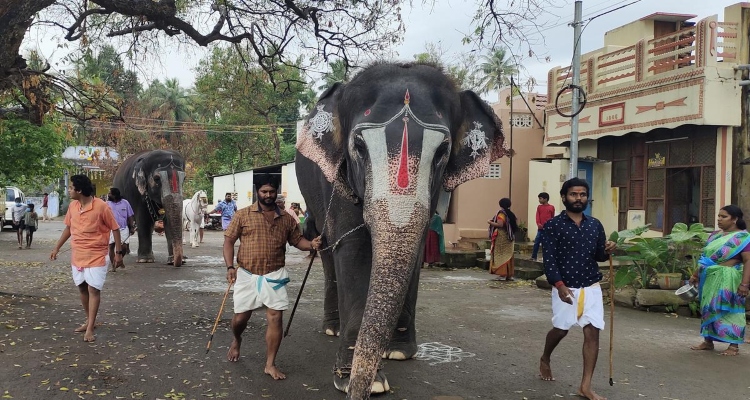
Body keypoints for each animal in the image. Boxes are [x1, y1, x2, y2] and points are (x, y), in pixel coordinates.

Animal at [296, 61, 512, 398]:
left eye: (442, 152)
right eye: (359, 147)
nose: (359, 391)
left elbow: (416, 247)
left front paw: (396, 353)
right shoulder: (337, 181)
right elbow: (354, 249)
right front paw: (356, 380)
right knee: (328, 249)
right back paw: (332, 328)